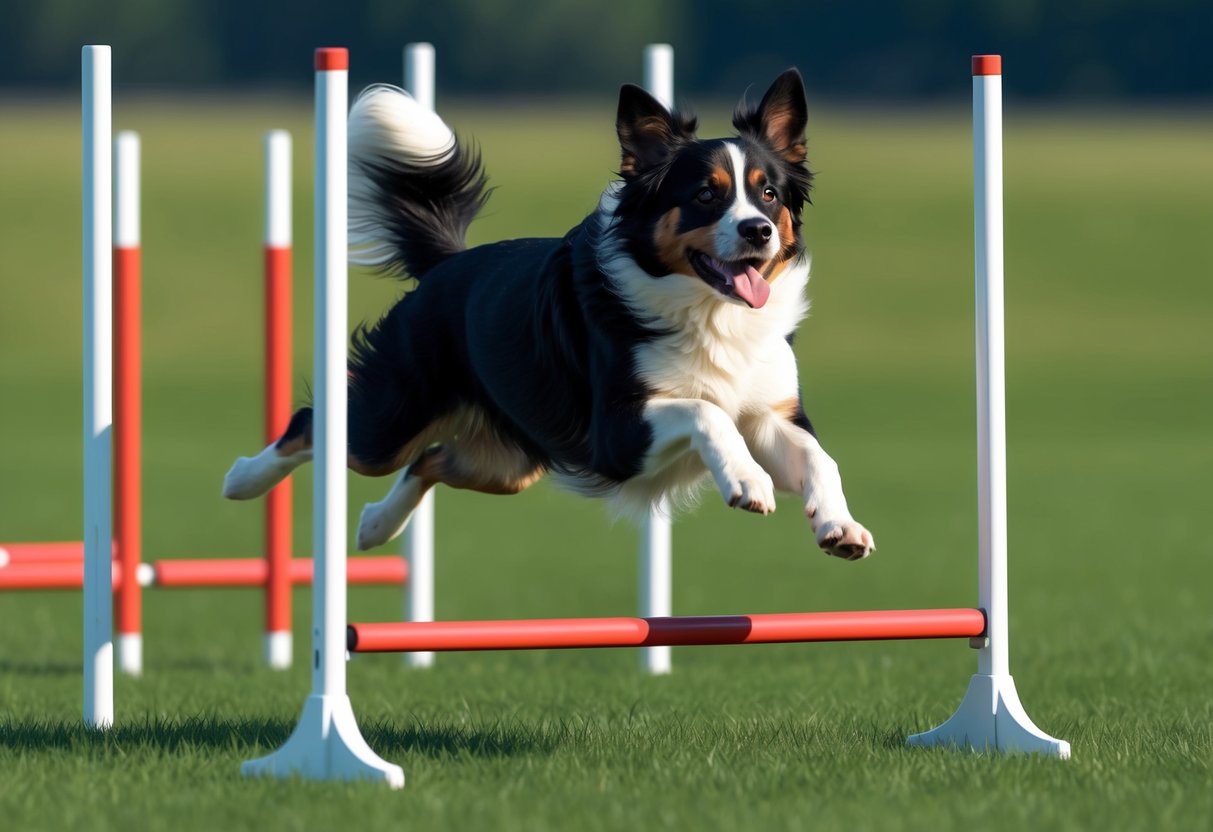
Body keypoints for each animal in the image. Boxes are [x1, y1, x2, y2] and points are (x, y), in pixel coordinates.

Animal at [223, 68, 878, 562]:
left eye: (769, 193)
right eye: (705, 195)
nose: (758, 231)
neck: (711, 313)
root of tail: (447, 265)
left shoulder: (769, 414)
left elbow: (820, 457)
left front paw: (840, 526)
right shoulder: (616, 432)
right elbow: (706, 412)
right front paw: (747, 481)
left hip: (511, 460)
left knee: (430, 458)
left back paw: (374, 526)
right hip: (392, 417)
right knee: (320, 423)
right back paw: (241, 479)